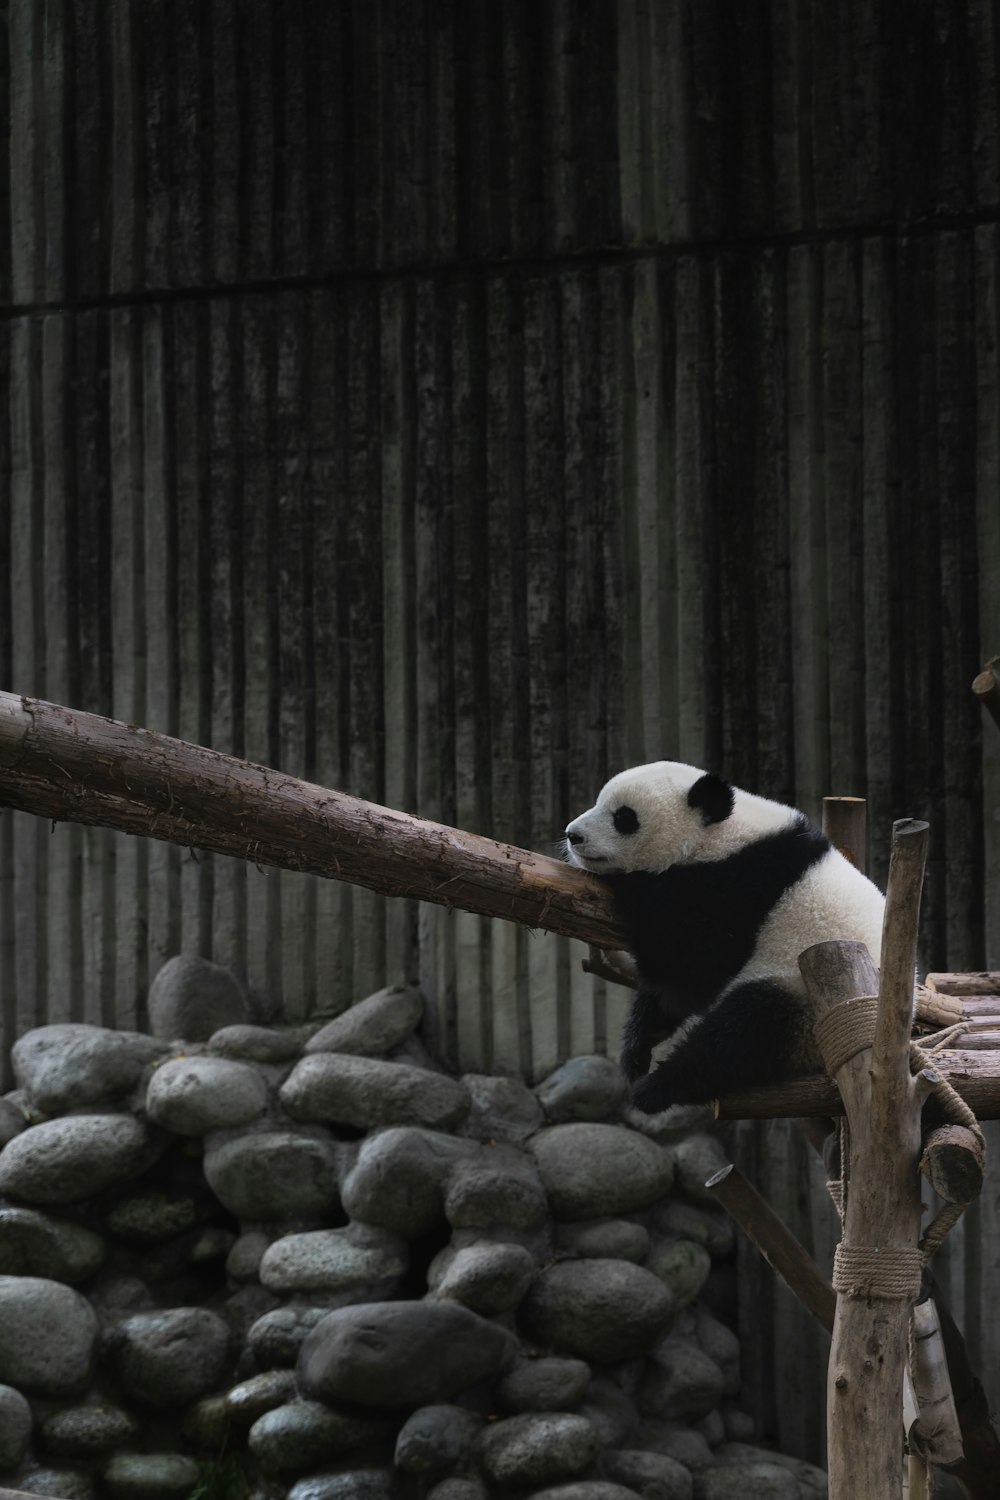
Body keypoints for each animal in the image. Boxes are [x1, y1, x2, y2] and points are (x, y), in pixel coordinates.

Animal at [563, 762, 881, 1116]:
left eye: (624, 817)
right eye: (599, 801)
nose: (573, 835)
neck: (723, 835)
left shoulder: (743, 888)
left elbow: (691, 968)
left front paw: (633, 883)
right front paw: (637, 1047)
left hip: (800, 995)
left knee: (741, 1034)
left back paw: (657, 1088)